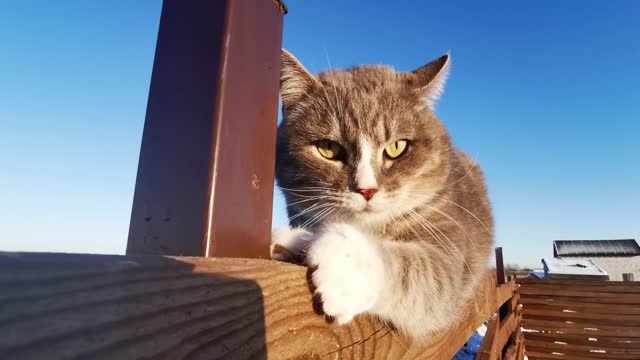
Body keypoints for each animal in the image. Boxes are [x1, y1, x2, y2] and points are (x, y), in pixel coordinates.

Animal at [270, 48, 496, 338]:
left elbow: (426, 273)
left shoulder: (450, 243)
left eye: (397, 147)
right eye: (328, 148)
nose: (367, 189)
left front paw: (343, 261)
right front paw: (291, 240)